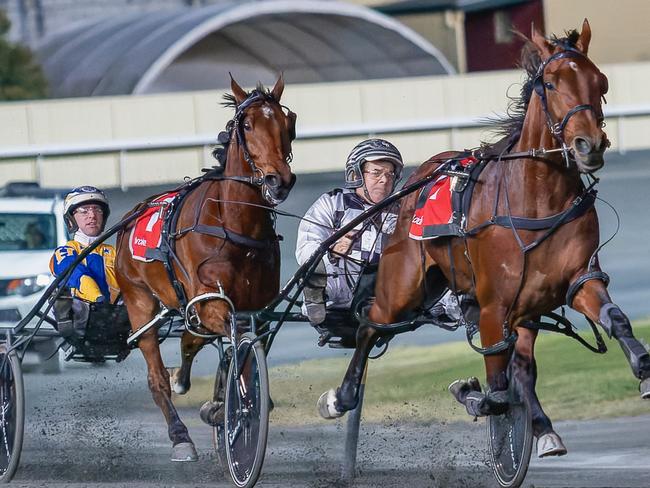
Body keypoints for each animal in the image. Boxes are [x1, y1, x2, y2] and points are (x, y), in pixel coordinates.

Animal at [114, 76, 296, 462]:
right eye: (246, 125)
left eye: (287, 123)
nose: (279, 180)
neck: (235, 226)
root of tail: (132, 213)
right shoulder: (212, 302)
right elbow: (234, 347)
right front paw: (233, 408)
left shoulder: (255, 310)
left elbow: (235, 349)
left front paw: (223, 406)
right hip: (138, 298)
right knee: (156, 374)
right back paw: (180, 435)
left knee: (190, 339)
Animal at [318, 21, 648, 458]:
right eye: (551, 83)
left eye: (600, 81)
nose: (589, 145)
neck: (536, 201)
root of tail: (422, 174)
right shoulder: (495, 306)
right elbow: (497, 392)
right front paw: (470, 392)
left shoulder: (576, 279)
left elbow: (615, 318)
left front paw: (644, 368)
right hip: (403, 283)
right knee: (370, 326)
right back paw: (340, 397)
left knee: (522, 366)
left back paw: (543, 428)